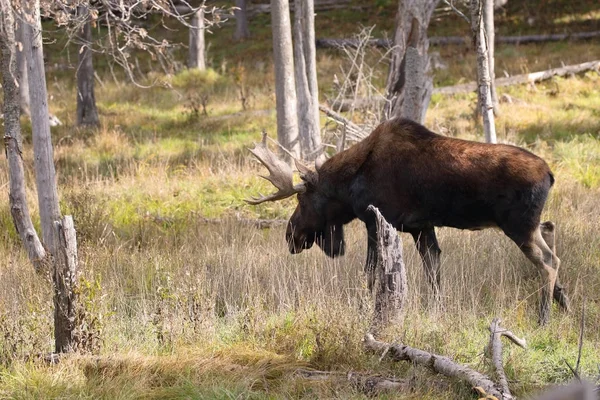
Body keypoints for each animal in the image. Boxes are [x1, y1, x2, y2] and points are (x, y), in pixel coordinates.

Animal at [246, 117, 568, 324]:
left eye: (302, 200)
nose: (291, 235)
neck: (349, 187)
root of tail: (550, 175)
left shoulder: (375, 220)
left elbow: (370, 273)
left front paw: (366, 311)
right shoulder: (421, 227)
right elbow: (433, 271)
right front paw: (437, 312)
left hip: (518, 225)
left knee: (550, 261)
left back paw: (544, 318)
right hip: (528, 224)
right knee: (550, 230)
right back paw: (564, 304)